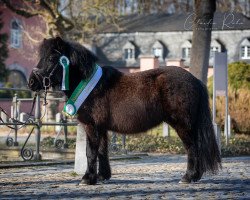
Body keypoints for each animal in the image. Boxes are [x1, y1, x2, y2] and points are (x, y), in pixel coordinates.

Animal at [28, 37, 222, 184]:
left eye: (51, 59)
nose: (31, 82)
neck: (91, 85)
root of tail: (195, 80)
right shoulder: (101, 127)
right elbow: (102, 151)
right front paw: (102, 176)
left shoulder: (91, 126)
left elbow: (90, 152)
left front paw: (87, 178)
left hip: (183, 125)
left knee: (192, 148)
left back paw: (189, 177)